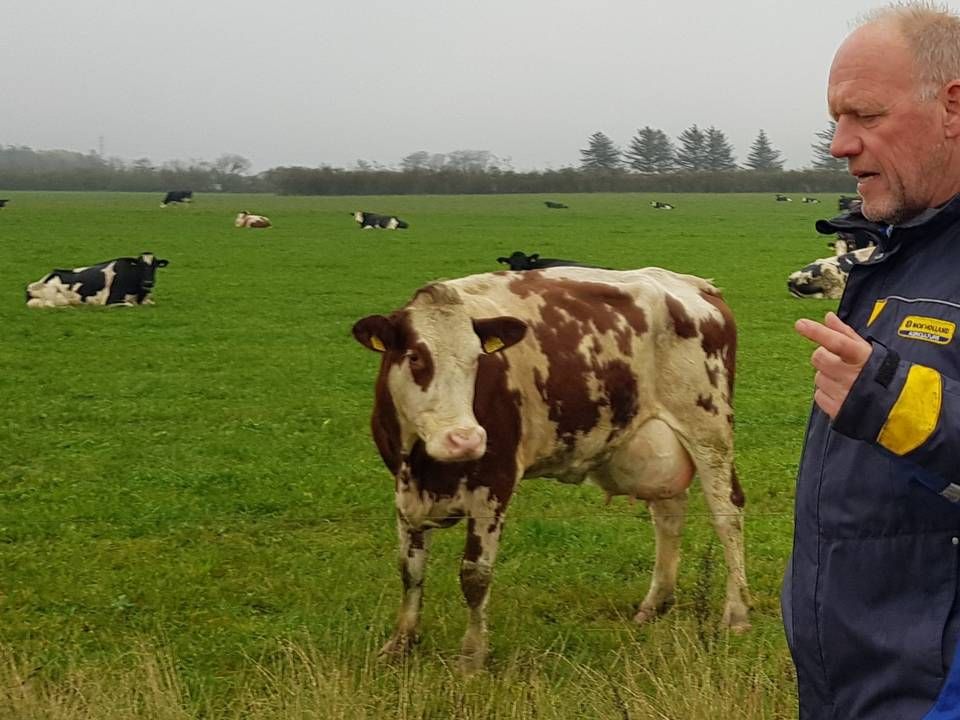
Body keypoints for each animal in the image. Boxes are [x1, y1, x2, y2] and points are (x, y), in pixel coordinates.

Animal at [352, 268, 752, 672]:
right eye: (415, 356)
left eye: (476, 359)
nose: (464, 439)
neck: (423, 465)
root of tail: (694, 284)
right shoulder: (405, 492)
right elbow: (410, 571)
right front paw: (400, 644)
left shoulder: (493, 485)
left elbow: (475, 575)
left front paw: (472, 657)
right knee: (668, 516)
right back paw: (654, 605)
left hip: (709, 431)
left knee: (727, 515)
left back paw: (737, 613)